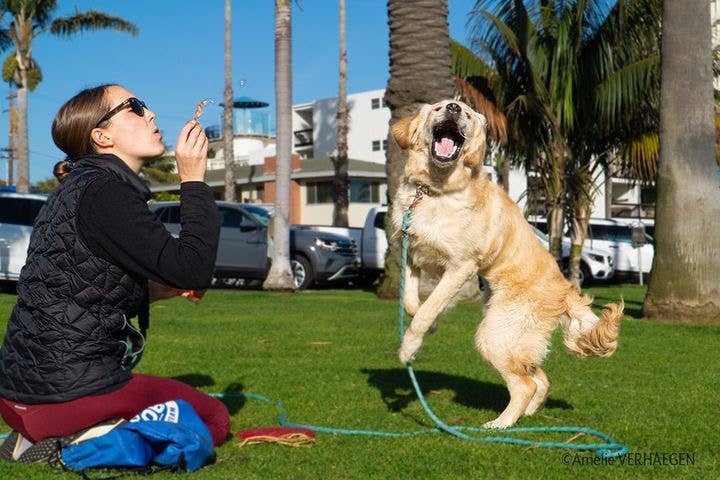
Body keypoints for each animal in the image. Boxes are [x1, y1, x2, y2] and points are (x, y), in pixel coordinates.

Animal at [390, 99, 620, 430]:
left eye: (468, 113)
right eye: (437, 108)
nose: (453, 108)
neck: (434, 190)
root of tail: (566, 293)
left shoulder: (460, 267)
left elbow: (426, 309)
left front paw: (409, 348)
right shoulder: (412, 253)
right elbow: (412, 303)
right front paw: (429, 324)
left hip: (494, 335)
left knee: (525, 384)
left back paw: (499, 425)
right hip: (515, 339)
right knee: (539, 378)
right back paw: (526, 414)